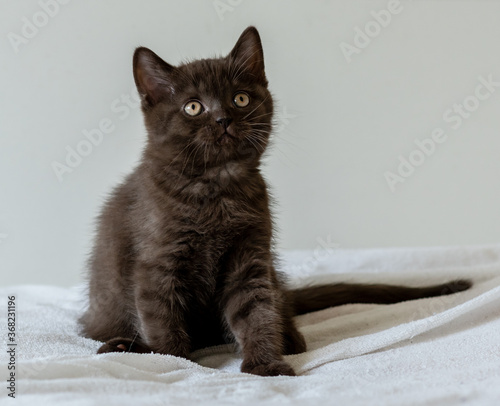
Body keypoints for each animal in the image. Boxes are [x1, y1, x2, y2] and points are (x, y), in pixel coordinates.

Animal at [79, 27, 472, 378]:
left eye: (240, 98)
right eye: (193, 107)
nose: (223, 119)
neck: (218, 188)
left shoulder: (250, 257)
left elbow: (256, 311)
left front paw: (265, 363)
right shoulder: (157, 263)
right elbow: (162, 318)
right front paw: (171, 359)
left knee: (279, 303)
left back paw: (291, 337)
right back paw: (125, 345)